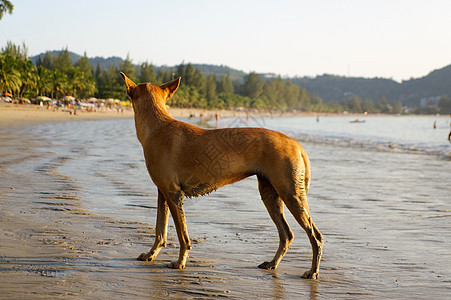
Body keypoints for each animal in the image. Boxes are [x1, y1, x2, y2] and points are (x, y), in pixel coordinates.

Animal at [121, 72, 324, 278]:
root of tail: (296, 144)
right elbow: (160, 230)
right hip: (271, 195)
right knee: (286, 234)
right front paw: (151, 254)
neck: (157, 126)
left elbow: (182, 235)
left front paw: (180, 262)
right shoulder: (163, 193)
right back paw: (273, 263)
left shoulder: (173, 194)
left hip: (291, 194)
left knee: (315, 236)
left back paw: (313, 271)